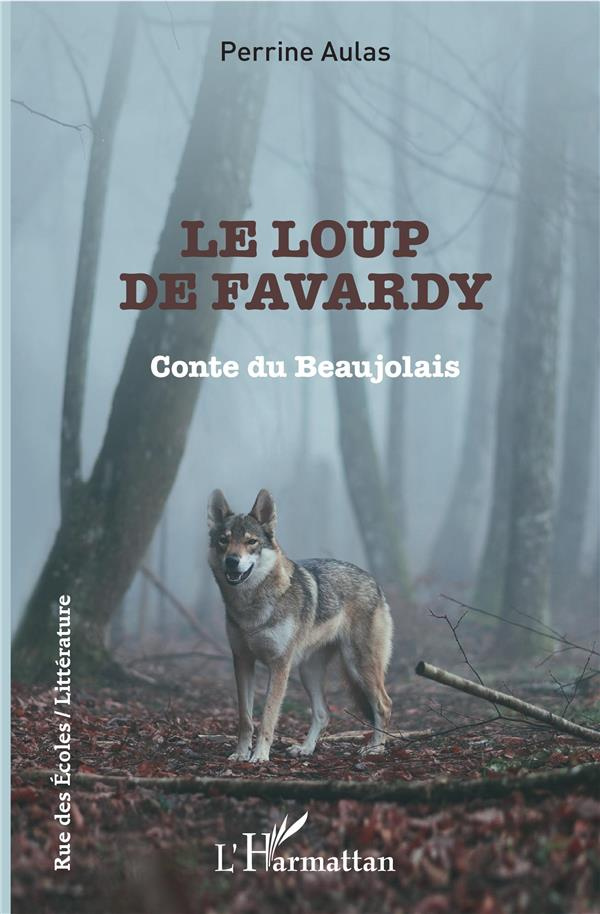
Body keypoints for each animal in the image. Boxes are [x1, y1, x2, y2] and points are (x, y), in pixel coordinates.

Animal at [208, 488, 393, 763]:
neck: (251, 607)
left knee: (383, 705)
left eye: (251, 542)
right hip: (309, 671)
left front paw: (259, 756)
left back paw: (375, 748)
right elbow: (245, 718)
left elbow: (268, 717)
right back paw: (305, 749)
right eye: (224, 540)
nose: (232, 561)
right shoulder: (242, 661)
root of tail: (374, 581)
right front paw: (241, 753)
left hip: (358, 666)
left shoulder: (279, 665)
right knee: (323, 713)